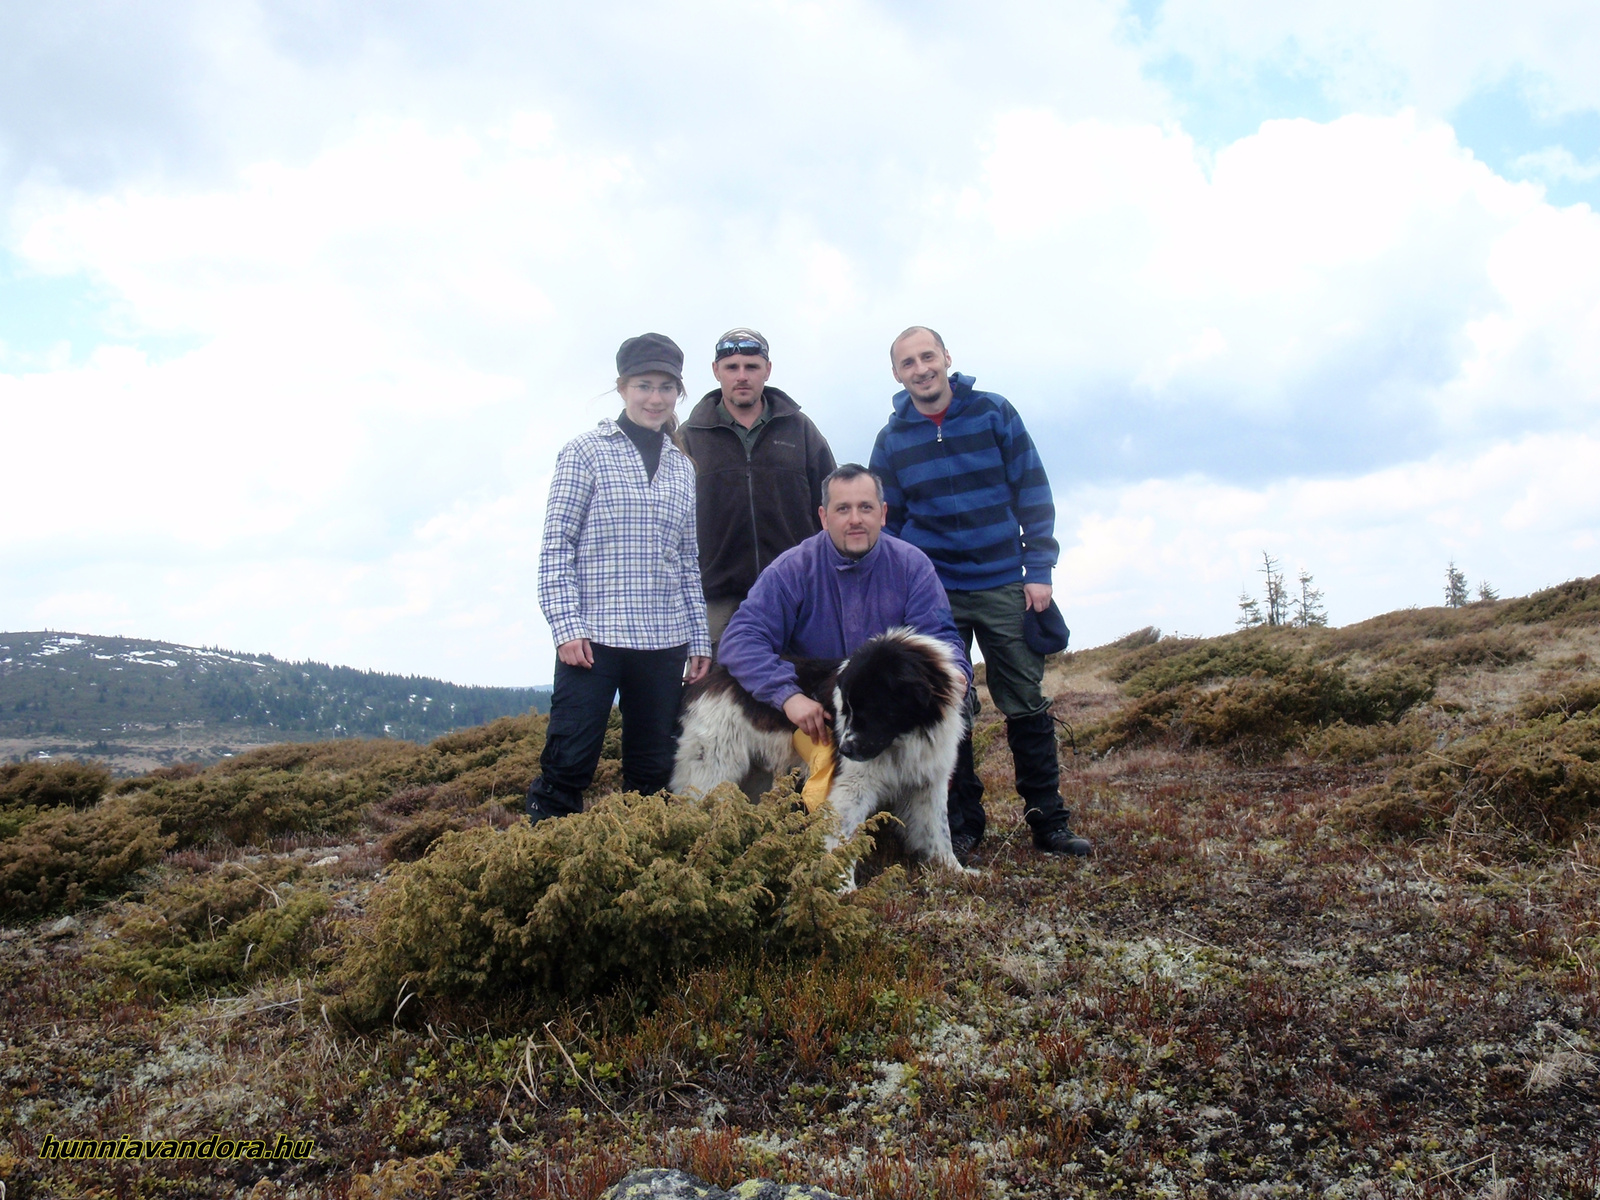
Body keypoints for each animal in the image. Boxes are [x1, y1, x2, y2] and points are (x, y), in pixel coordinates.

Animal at [668, 630, 966, 883]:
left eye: (872, 709)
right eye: (847, 708)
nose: (844, 750)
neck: (906, 736)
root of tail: (710, 675)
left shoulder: (929, 780)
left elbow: (938, 829)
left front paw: (954, 870)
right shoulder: (852, 787)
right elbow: (843, 837)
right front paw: (843, 888)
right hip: (714, 767)